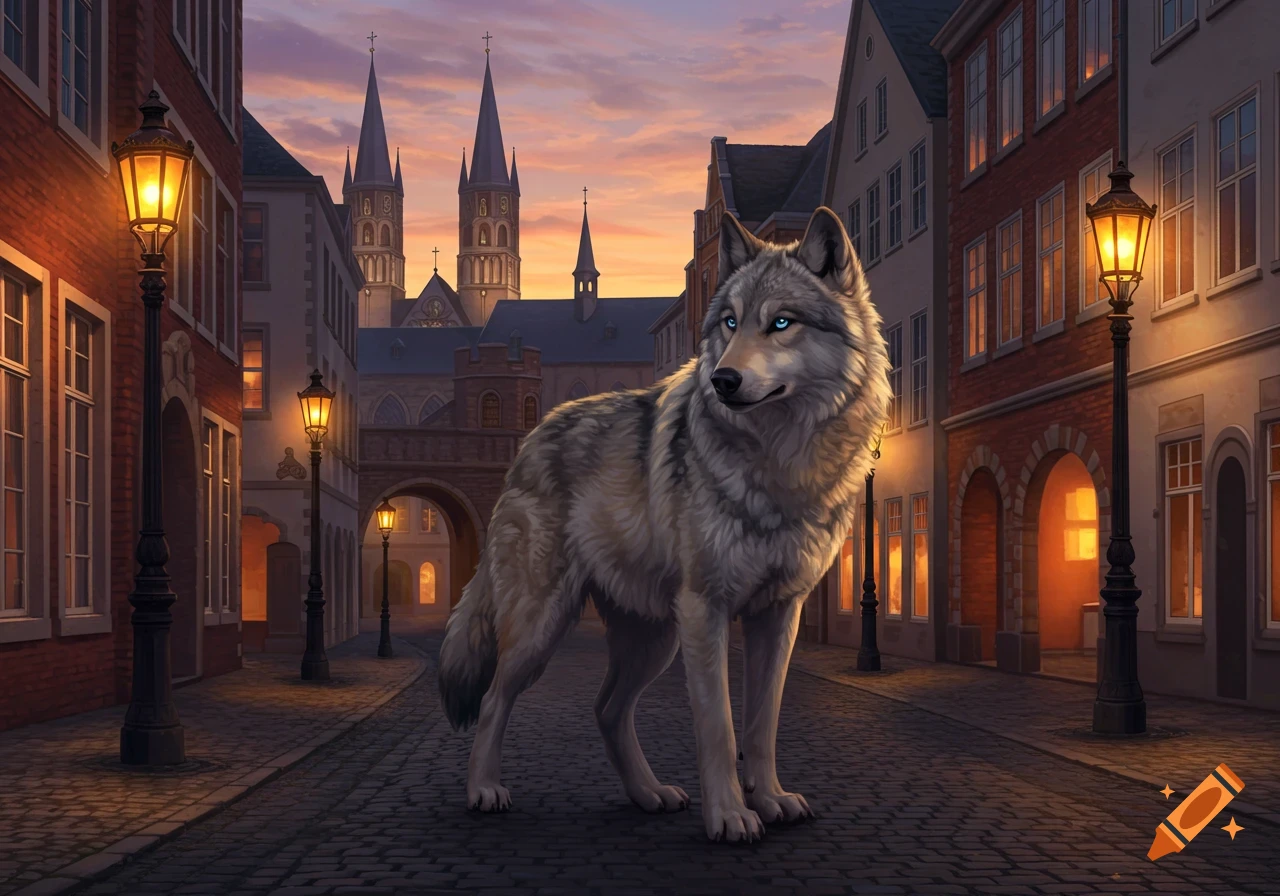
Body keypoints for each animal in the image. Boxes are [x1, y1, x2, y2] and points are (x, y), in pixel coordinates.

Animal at [437, 206, 890, 842]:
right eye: (729, 322)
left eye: (781, 323)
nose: (723, 380)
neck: (782, 462)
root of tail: (530, 440)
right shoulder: (706, 610)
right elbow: (720, 728)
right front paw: (730, 816)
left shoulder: (780, 615)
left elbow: (762, 725)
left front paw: (770, 798)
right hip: (544, 627)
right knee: (494, 699)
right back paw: (483, 791)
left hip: (653, 639)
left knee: (606, 709)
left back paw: (649, 794)